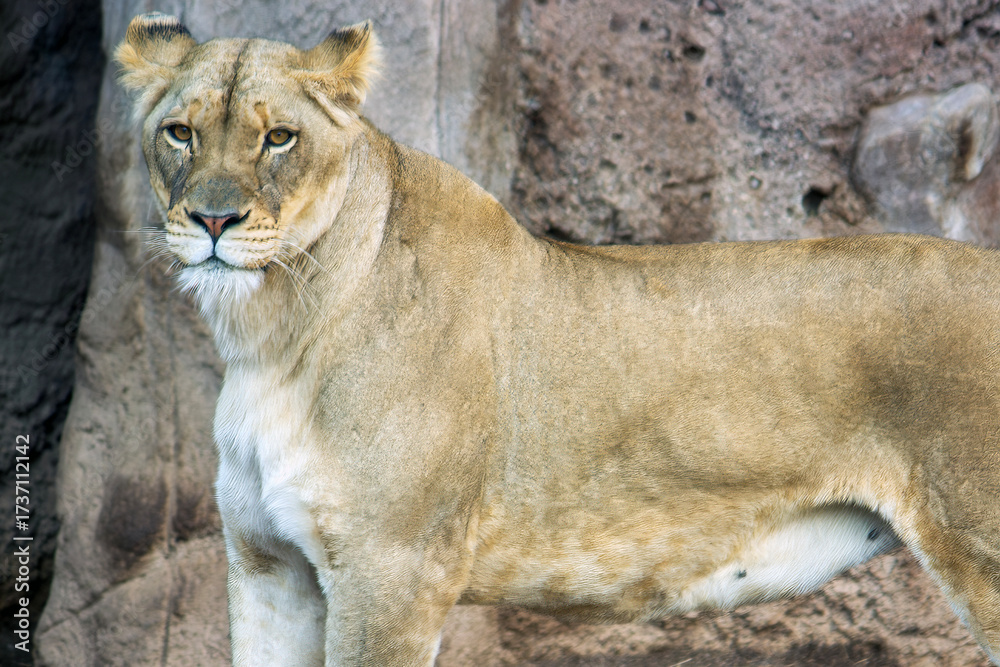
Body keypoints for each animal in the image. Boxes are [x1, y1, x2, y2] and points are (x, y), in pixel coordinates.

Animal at [115, 13, 1000, 666]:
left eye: (279, 138)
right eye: (181, 132)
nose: (214, 221)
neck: (272, 334)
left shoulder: (392, 569)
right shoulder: (270, 567)